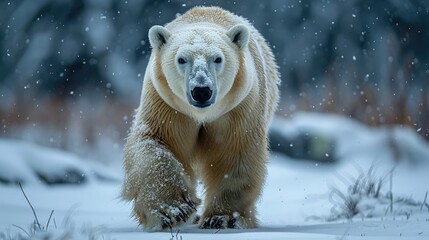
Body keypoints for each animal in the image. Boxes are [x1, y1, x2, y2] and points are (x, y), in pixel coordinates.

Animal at [122, 6, 280, 230]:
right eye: (181, 59)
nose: (201, 91)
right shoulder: (166, 105)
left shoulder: (238, 109)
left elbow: (235, 154)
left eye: (218, 58)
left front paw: (222, 218)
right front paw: (174, 210)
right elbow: (155, 144)